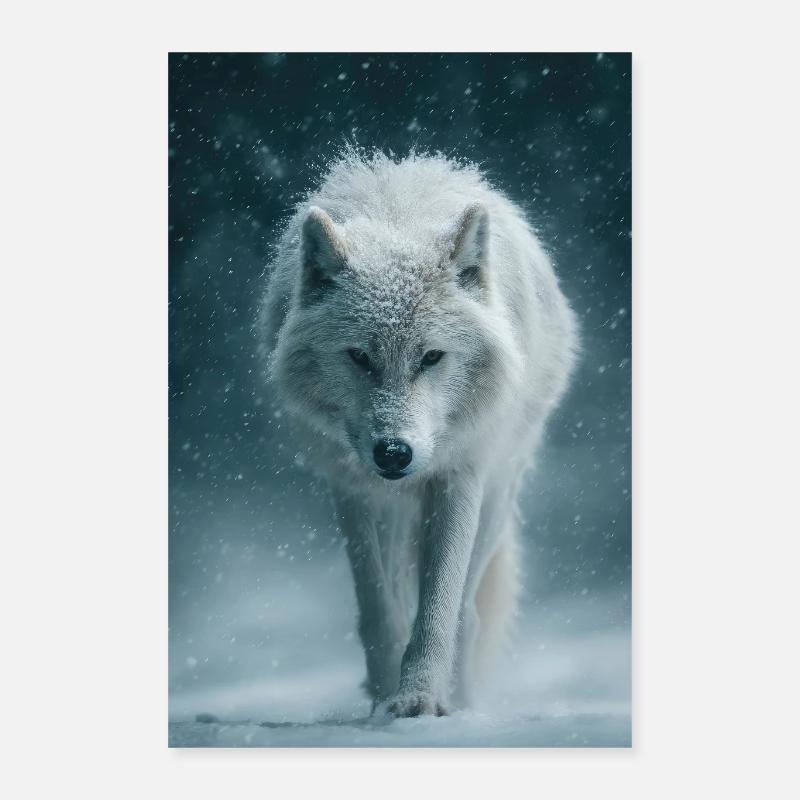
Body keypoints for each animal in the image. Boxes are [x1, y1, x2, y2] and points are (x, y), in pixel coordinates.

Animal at [259, 150, 577, 717]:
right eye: (359, 357)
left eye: (431, 357)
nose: (394, 454)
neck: (398, 220)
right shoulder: (354, 490)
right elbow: (379, 612)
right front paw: (385, 699)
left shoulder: (459, 477)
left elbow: (438, 610)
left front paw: (419, 700)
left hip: (498, 494)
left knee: (469, 613)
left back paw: (465, 703)